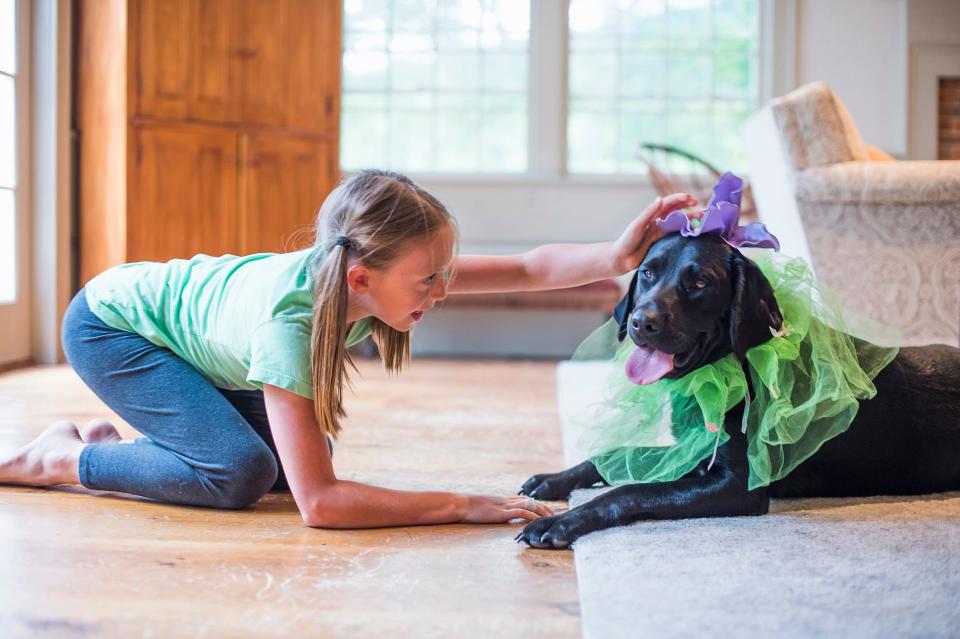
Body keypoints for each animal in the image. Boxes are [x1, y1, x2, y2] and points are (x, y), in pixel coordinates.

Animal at [516, 234, 960, 552]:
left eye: (700, 282)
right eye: (647, 273)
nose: (641, 322)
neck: (729, 365)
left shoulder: (737, 484)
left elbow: (631, 490)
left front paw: (559, 522)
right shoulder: (692, 449)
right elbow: (616, 453)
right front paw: (555, 479)